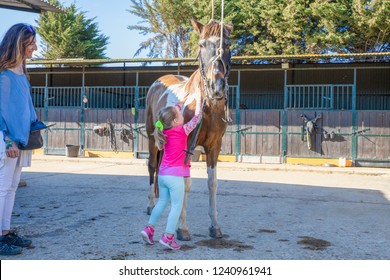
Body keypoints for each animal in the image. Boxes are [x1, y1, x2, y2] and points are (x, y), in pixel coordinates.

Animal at [145, 18, 232, 241]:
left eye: (227, 44)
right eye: (201, 45)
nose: (216, 86)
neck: (207, 106)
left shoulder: (214, 147)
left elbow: (212, 183)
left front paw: (215, 226)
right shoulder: (187, 146)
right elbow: (185, 184)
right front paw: (182, 228)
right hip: (151, 139)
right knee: (152, 166)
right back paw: (150, 205)